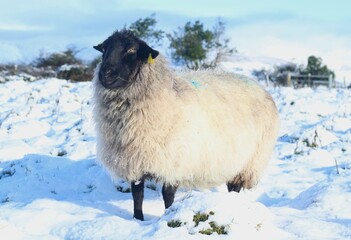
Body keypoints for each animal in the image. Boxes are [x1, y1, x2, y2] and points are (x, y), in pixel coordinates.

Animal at [93, 30, 280, 221]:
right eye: (104, 49)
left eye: (131, 50)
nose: (105, 73)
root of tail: (261, 88)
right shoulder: (134, 161)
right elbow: (137, 195)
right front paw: (138, 219)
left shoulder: (175, 162)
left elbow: (167, 195)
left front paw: (168, 215)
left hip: (250, 162)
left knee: (235, 187)